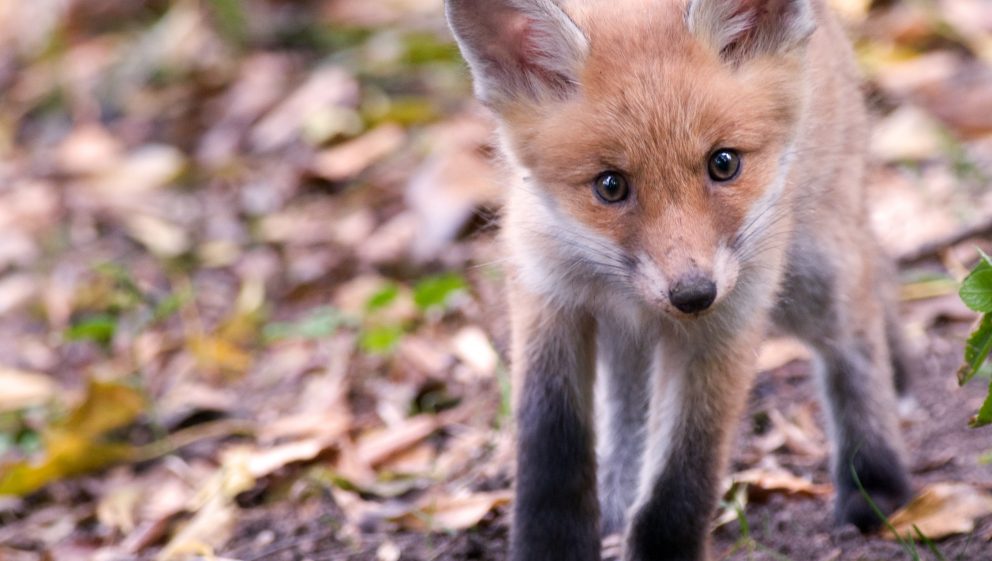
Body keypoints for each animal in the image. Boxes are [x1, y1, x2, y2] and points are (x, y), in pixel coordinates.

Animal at [444, 0, 916, 556]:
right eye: (610, 186)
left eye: (724, 163)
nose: (693, 293)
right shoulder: (548, 296)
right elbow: (551, 454)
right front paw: (553, 546)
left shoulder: (726, 322)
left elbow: (682, 484)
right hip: (630, 337)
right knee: (626, 416)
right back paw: (615, 507)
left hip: (814, 273)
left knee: (859, 329)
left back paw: (876, 479)